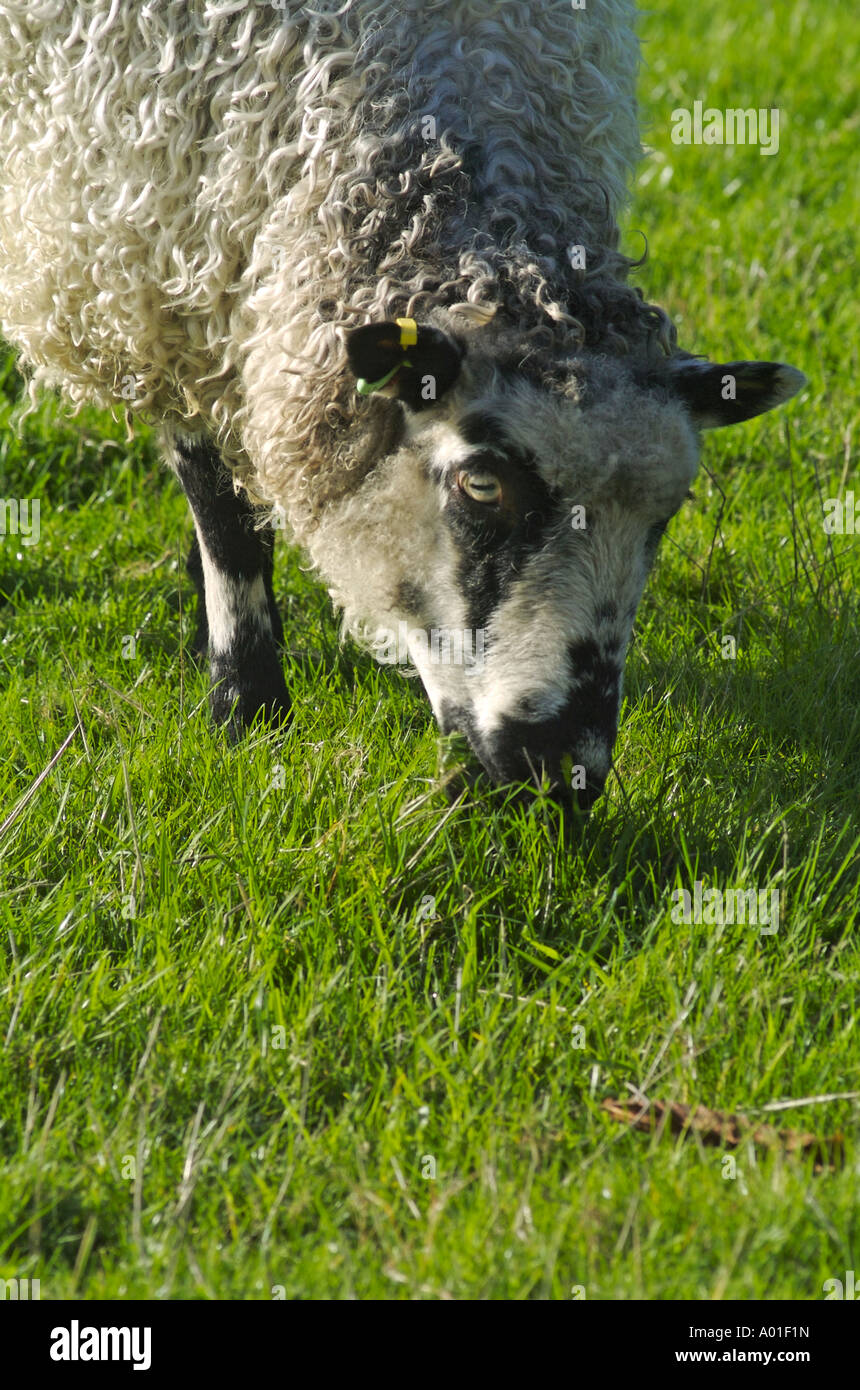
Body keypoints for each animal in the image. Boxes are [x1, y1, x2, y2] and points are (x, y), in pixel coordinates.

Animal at [0, 0, 805, 808]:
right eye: (480, 484)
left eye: (664, 516)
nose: (565, 770)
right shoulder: (155, 279)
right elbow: (225, 517)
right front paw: (247, 710)